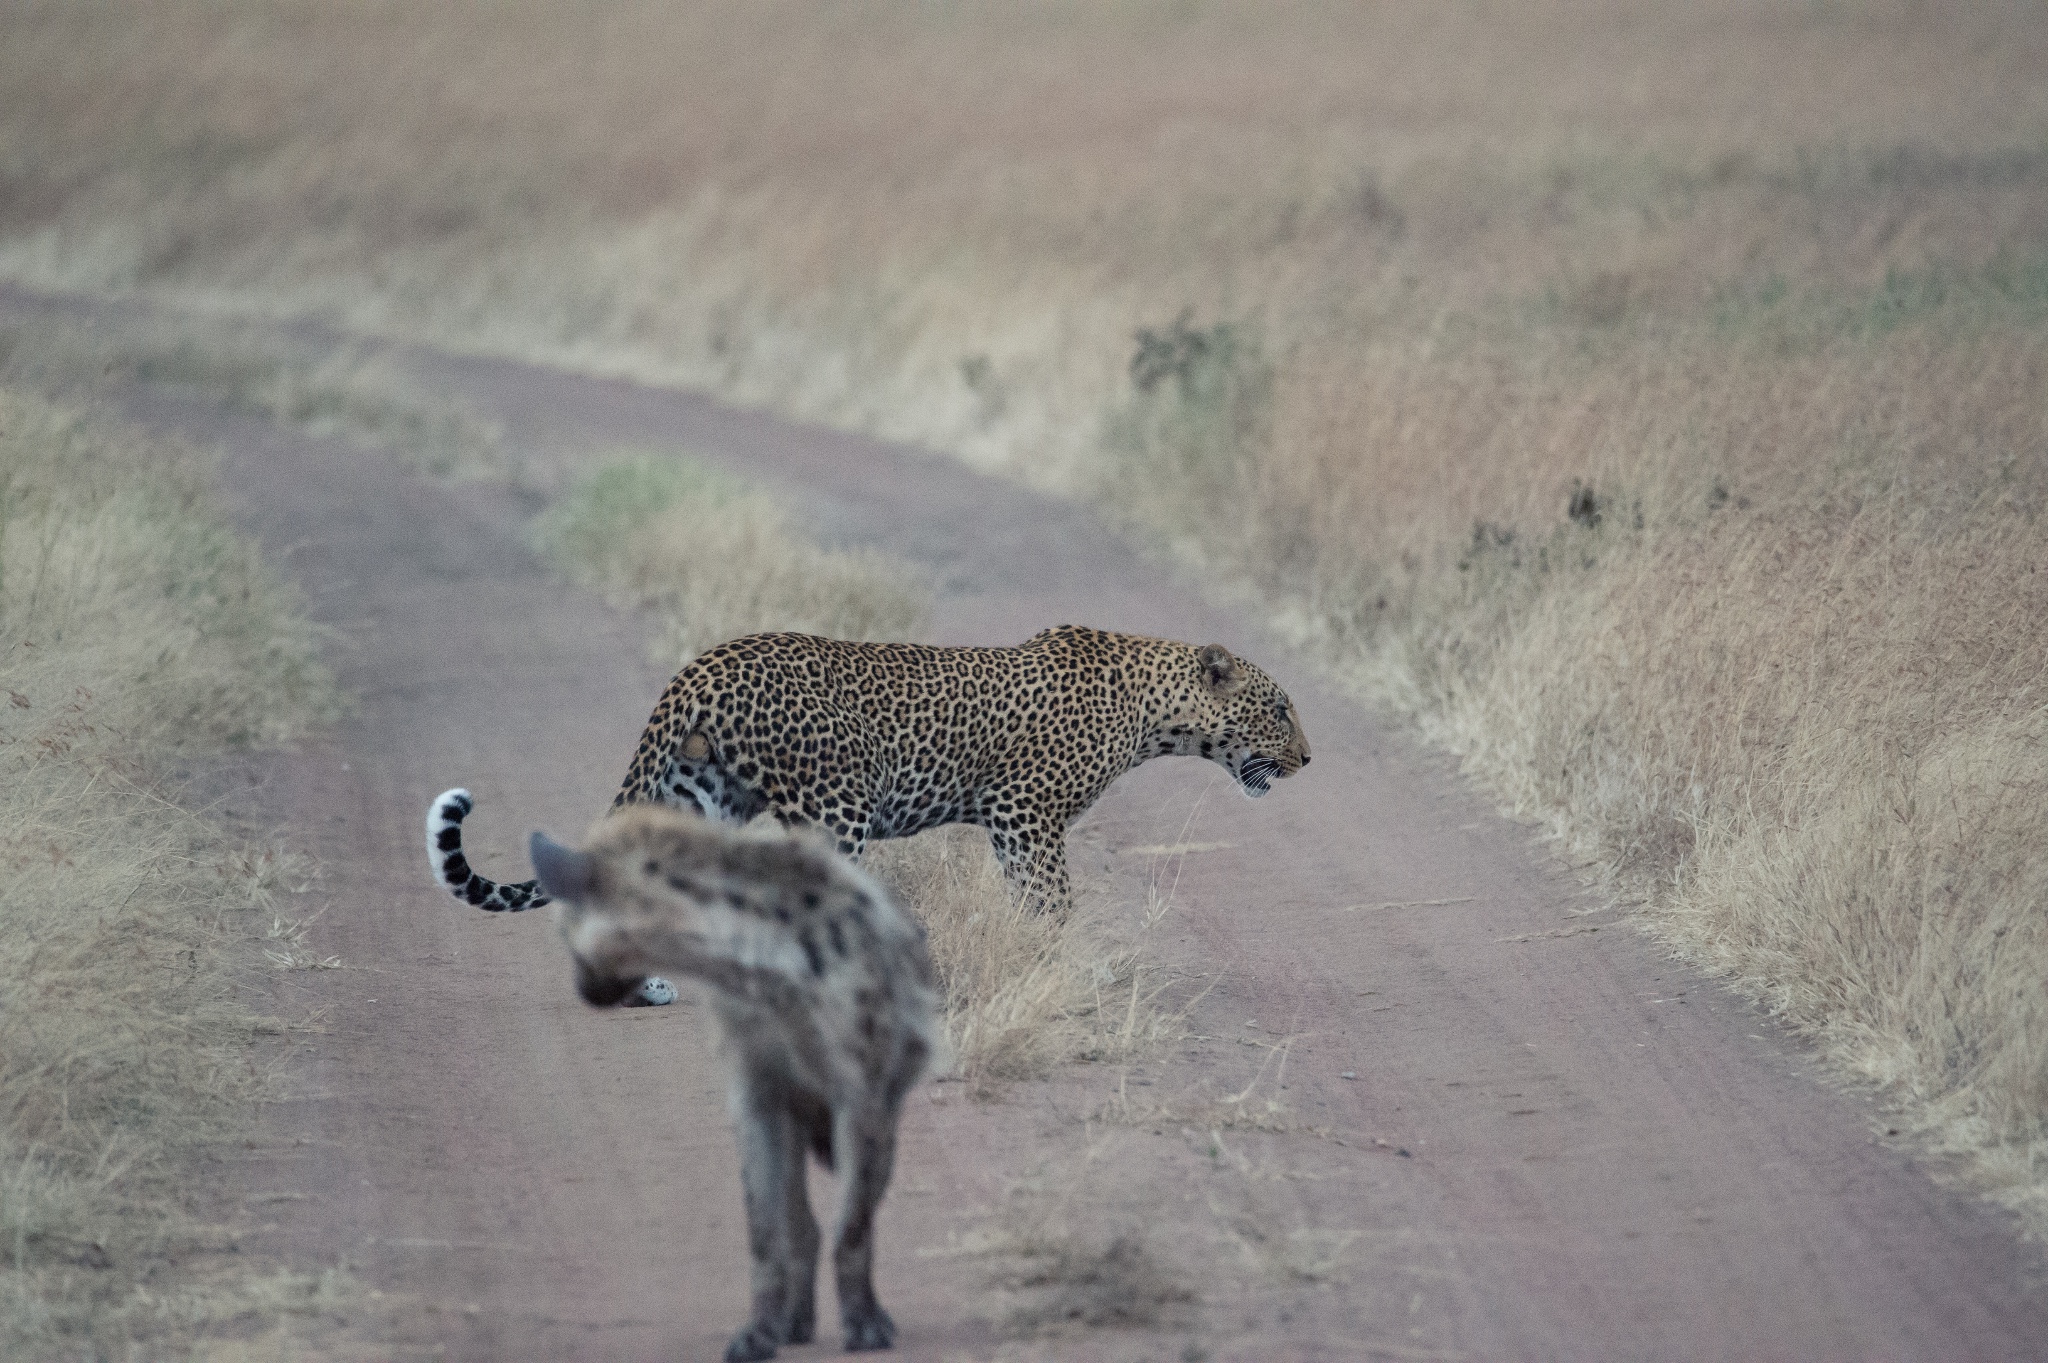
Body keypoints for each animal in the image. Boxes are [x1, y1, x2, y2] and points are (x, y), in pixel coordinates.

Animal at [428, 626, 1310, 998]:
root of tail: (698, 667)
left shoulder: (1016, 823)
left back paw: (648, 984)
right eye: (1279, 709)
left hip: (703, 796)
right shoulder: (1025, 814)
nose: (1309, 758)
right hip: (834, 810)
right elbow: (1053, 902)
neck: (1156, 711)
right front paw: (1068, 964)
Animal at [532, 802, 937, 1350]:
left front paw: (867, 1328)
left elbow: (853, 1225)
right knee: (801, 1222)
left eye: (563, 934)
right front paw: (760, 1333)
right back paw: (795, 1322)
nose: (584, 992)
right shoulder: (757, 1091)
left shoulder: (862, 1093)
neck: (763, 968)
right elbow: (765, 1227)